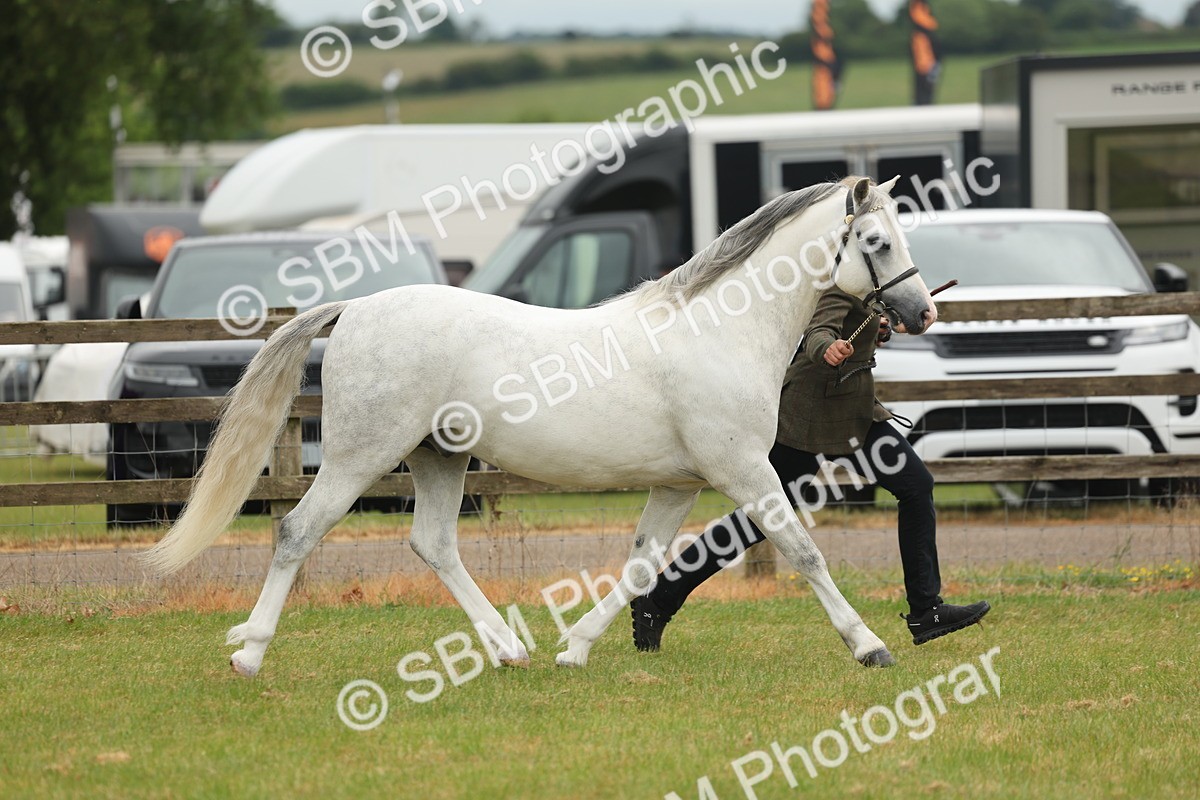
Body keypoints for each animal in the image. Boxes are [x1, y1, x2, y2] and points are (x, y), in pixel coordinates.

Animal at [141, 176, 936, 677]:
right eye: (876, 240)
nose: (922, 312)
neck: (719, 330)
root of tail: (355, 308)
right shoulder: (743, 469)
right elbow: (804, 552)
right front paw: (870, 646)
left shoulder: (679, 483)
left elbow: (641, 564)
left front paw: (575, 649)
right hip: (358, 458)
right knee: (296, 532)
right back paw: (249, 653)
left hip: (438, 458)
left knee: (434, 544)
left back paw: (508, 648)